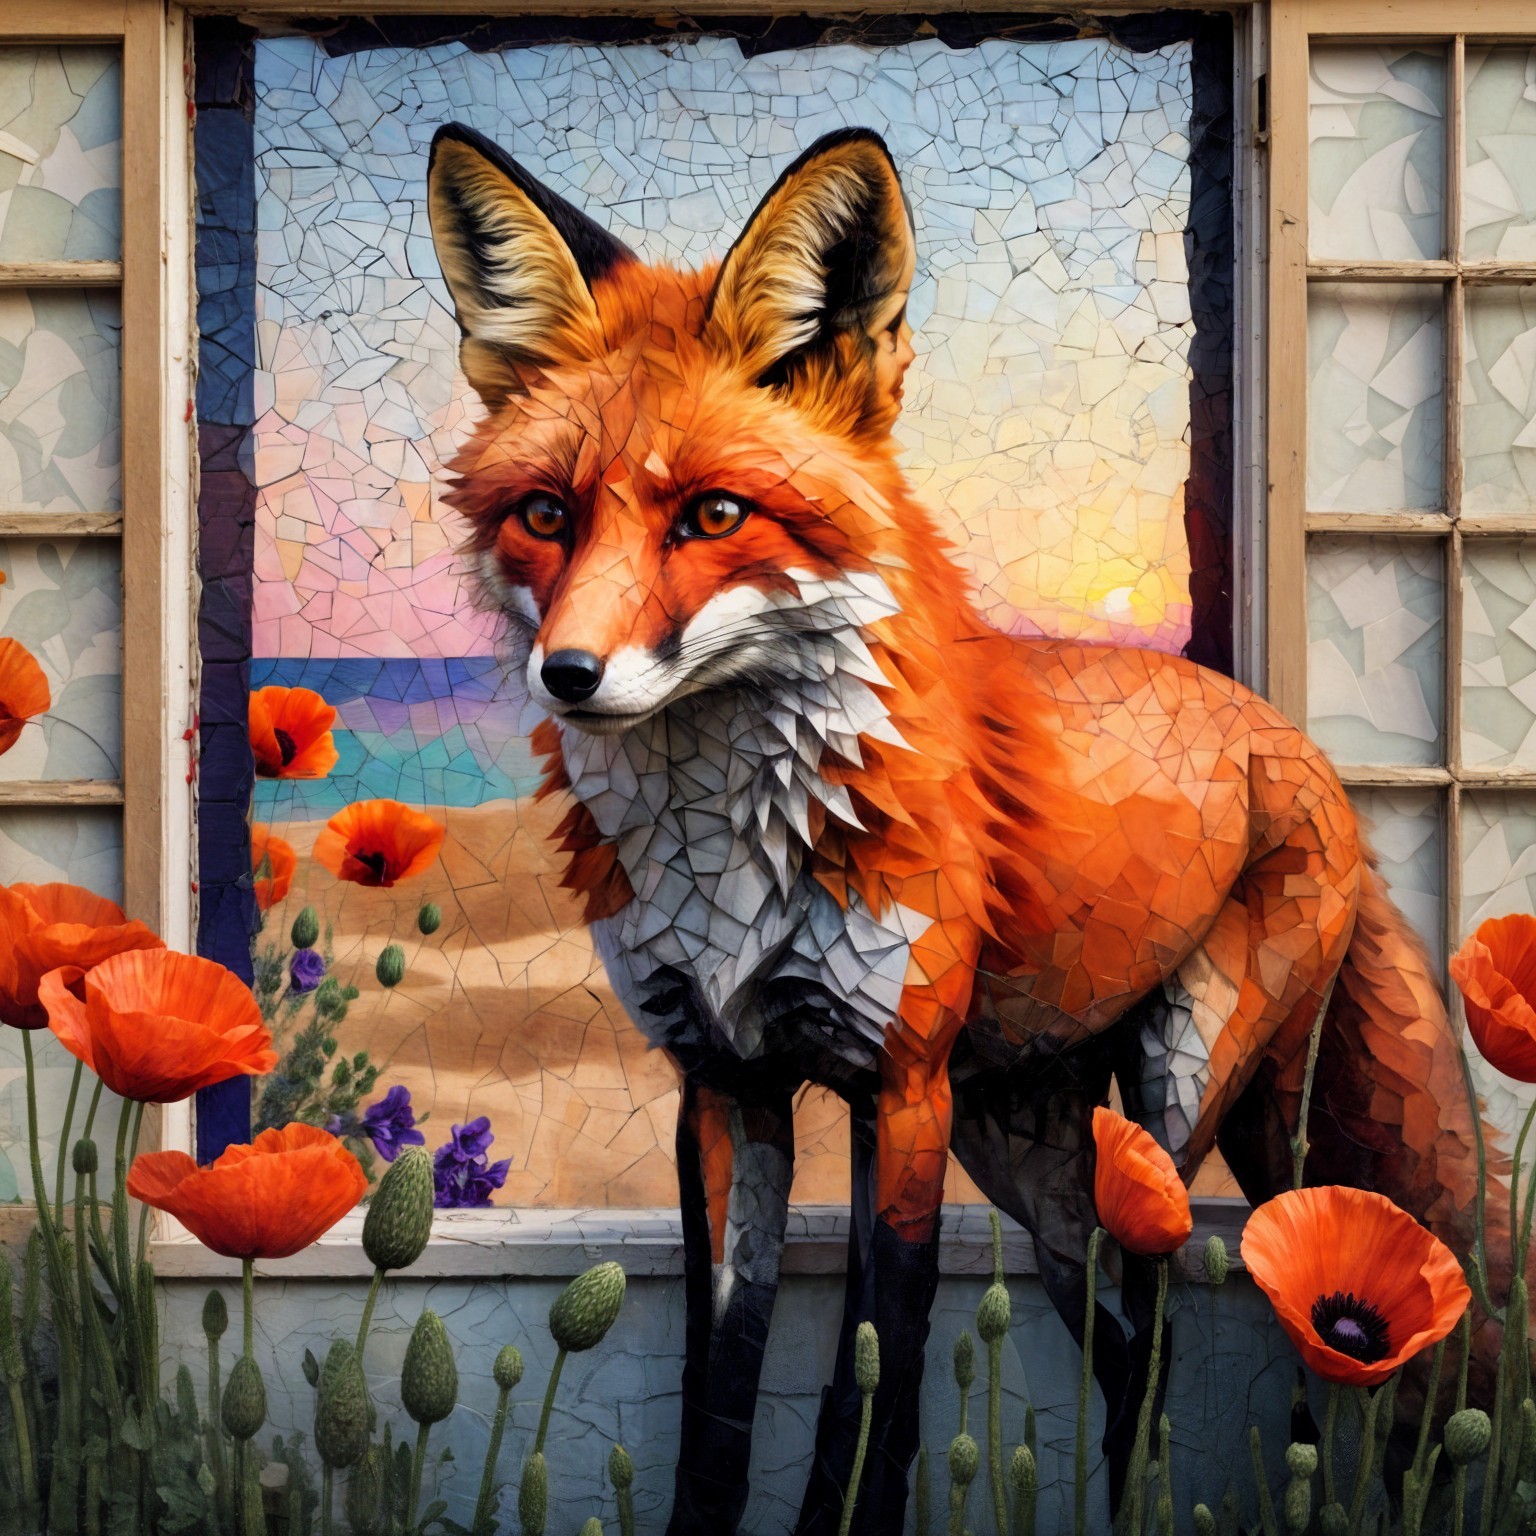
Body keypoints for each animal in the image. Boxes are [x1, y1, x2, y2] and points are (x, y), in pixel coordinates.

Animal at [425, 122, 1502, 1534]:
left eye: (713, 516)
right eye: (547, 515)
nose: (569, 676)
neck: (733, 860)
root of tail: (1287, 734)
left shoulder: (902, 1090)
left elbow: (871, 1390)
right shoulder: (725, 1086)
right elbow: (718, 1393)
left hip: (1164, 1110)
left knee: (1184, 1321)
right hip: (1037, 1170)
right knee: (1126, 1355)